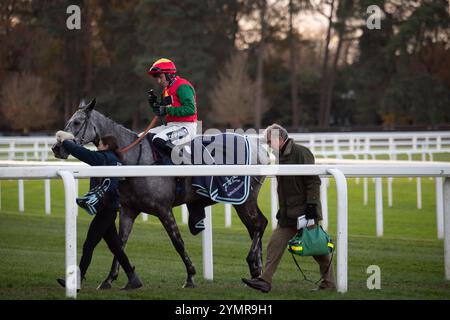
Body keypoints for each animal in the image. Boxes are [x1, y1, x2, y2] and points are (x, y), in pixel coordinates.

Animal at [52, 99, 270, 288]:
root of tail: (258, 147)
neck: (137, 160)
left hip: (243, 199)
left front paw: (190, 276)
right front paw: (110, 279)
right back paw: (256, 272)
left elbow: (178, 242)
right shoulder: (129, 211)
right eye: (69, 121)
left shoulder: (163, 208)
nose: (56, 147)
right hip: (244, 201)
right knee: (254, 227)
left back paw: (253, 263)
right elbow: (120, 244)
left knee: (260, 224)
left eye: (77, 122)